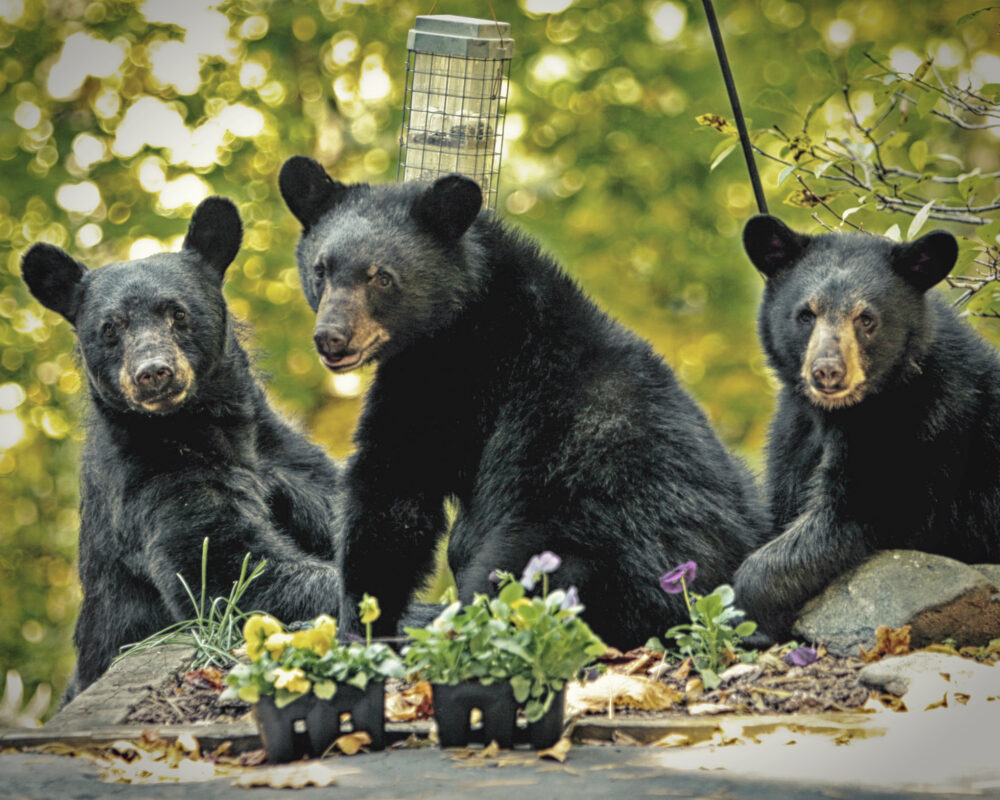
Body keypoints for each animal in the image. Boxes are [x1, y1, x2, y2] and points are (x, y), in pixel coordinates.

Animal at [22, 195, 344, 700]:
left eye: (177, 313)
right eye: (109, 328)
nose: (153, 372)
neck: (214, 428)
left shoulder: (291, 459)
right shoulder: (151, 483)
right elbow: (225, 570)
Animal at [278, 158, 760, 648]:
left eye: (382, 277)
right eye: (321, 269)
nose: (332, 338)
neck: (471, 305)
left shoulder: (444, 381)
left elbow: (394, 485)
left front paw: (361, 621)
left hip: (562, 536)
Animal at [732, 216, 1000, 640]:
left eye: (866, 319)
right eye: (806, 314)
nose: (827, 371)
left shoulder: (925, 427)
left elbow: (862, 508)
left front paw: (747, 609)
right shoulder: (794, 431)